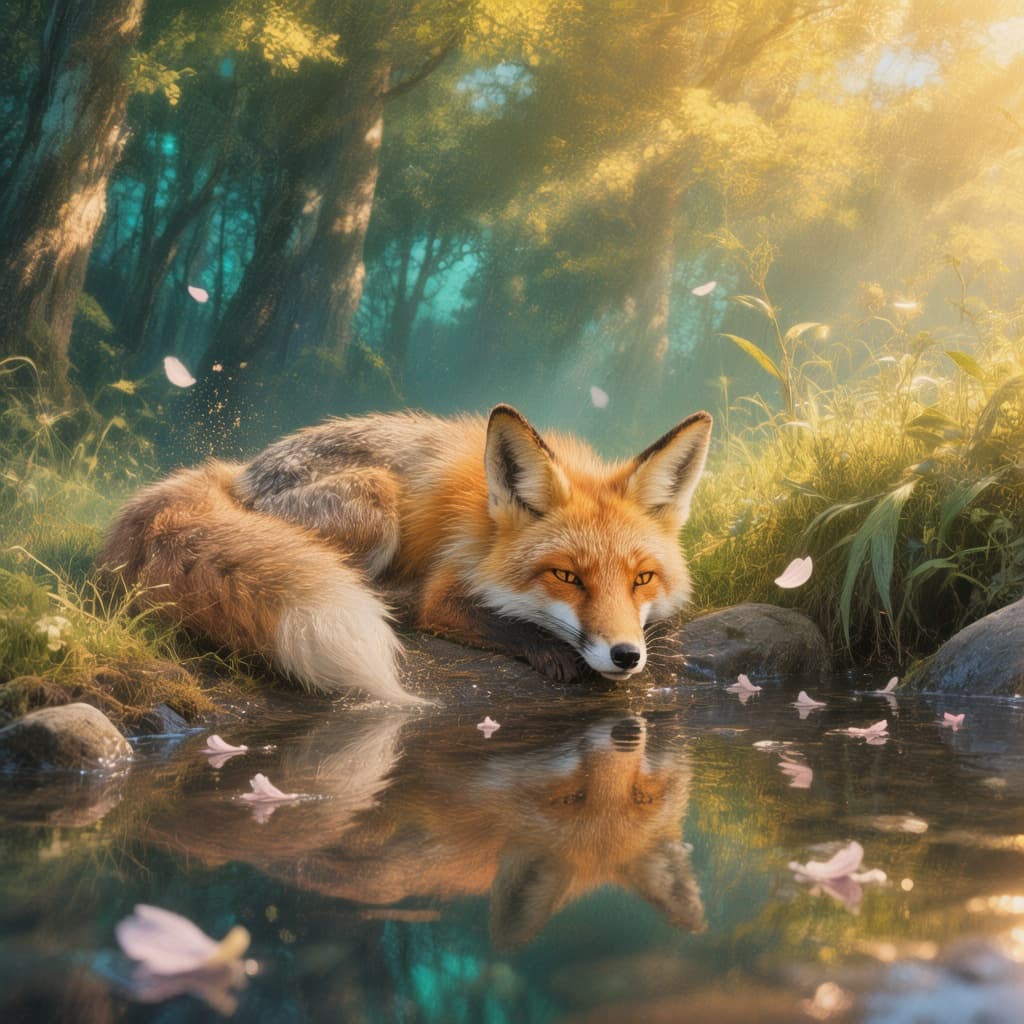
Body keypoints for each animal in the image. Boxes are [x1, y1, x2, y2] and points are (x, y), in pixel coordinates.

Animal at [98, 404, 712, 704]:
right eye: (566, 576)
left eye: (642, 579)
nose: (626, 656)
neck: (486, 526)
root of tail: (239, 474)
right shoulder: (444, 588)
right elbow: (478, 616)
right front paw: (548, 649)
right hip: (377, 500)